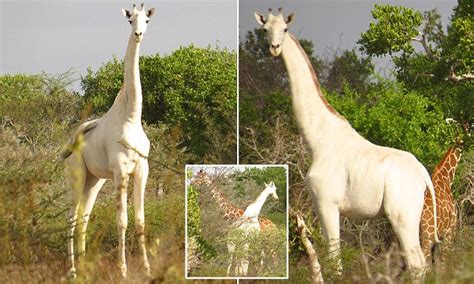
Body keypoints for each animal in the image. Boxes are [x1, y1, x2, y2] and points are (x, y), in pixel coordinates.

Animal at [64, 3, 156, 280]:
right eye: (130, 20)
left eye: (147, 20)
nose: (138, 34)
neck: (131, 117)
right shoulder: (120, 171)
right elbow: (122, 220)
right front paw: (123, 270)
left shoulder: (142, 170)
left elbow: (140, 220)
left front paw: (147, 269)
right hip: (77, 175)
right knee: (71, 218)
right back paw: (72, 270)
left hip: (94, 180)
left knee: (83, 218)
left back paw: (84, 267)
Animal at [254, 7, 438, 276]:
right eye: (265, 29)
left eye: (285, 29)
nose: (275, 48)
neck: (319, 140)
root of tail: (424, 176)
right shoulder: (322, 207)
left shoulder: (327, 203)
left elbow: (334, 260)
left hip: (402, 214)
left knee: (416, 264)